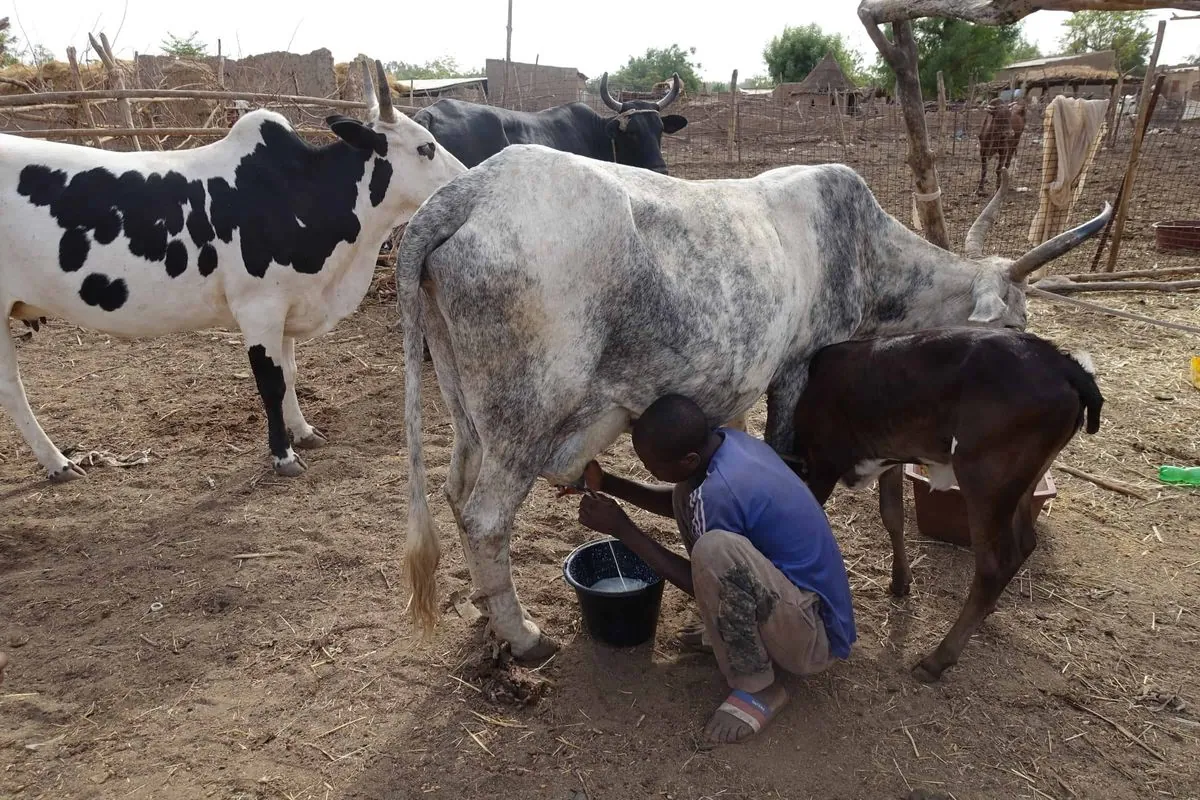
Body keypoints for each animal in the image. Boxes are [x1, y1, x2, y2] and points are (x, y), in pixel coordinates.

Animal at [1, 61, 463, 482]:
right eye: (426, 148)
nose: (466, 177)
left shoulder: (288, 305)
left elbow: (291, 373)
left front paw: (304, 431)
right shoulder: (259, 309)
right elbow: (271, 382)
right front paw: (283, 455)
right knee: (12, 388)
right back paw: (58, 462)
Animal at [787, 328, 1104, 686]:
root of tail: (1063, 364)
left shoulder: (824, 464)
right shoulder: (889, 458)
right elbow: (892, 515)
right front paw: (900, 581)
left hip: (983, 477)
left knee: (995, 563)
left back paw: (938, 659)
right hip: (1024, 480)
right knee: (1024, 543)